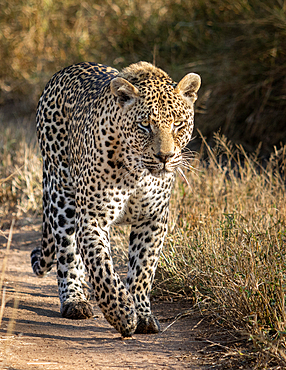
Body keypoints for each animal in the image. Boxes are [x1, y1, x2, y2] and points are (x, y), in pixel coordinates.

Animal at [30, 60, 201, 336]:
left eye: (178, 124)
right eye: (144, 125)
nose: (165, 157)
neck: (138, 173)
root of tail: (66, 69)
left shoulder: (153, 220)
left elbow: (143, 270)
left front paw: (142, 315)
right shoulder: (93, 218)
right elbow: (102, 267)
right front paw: (122, 313)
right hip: (62, 194)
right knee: (68, 252)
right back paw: (75, 301)